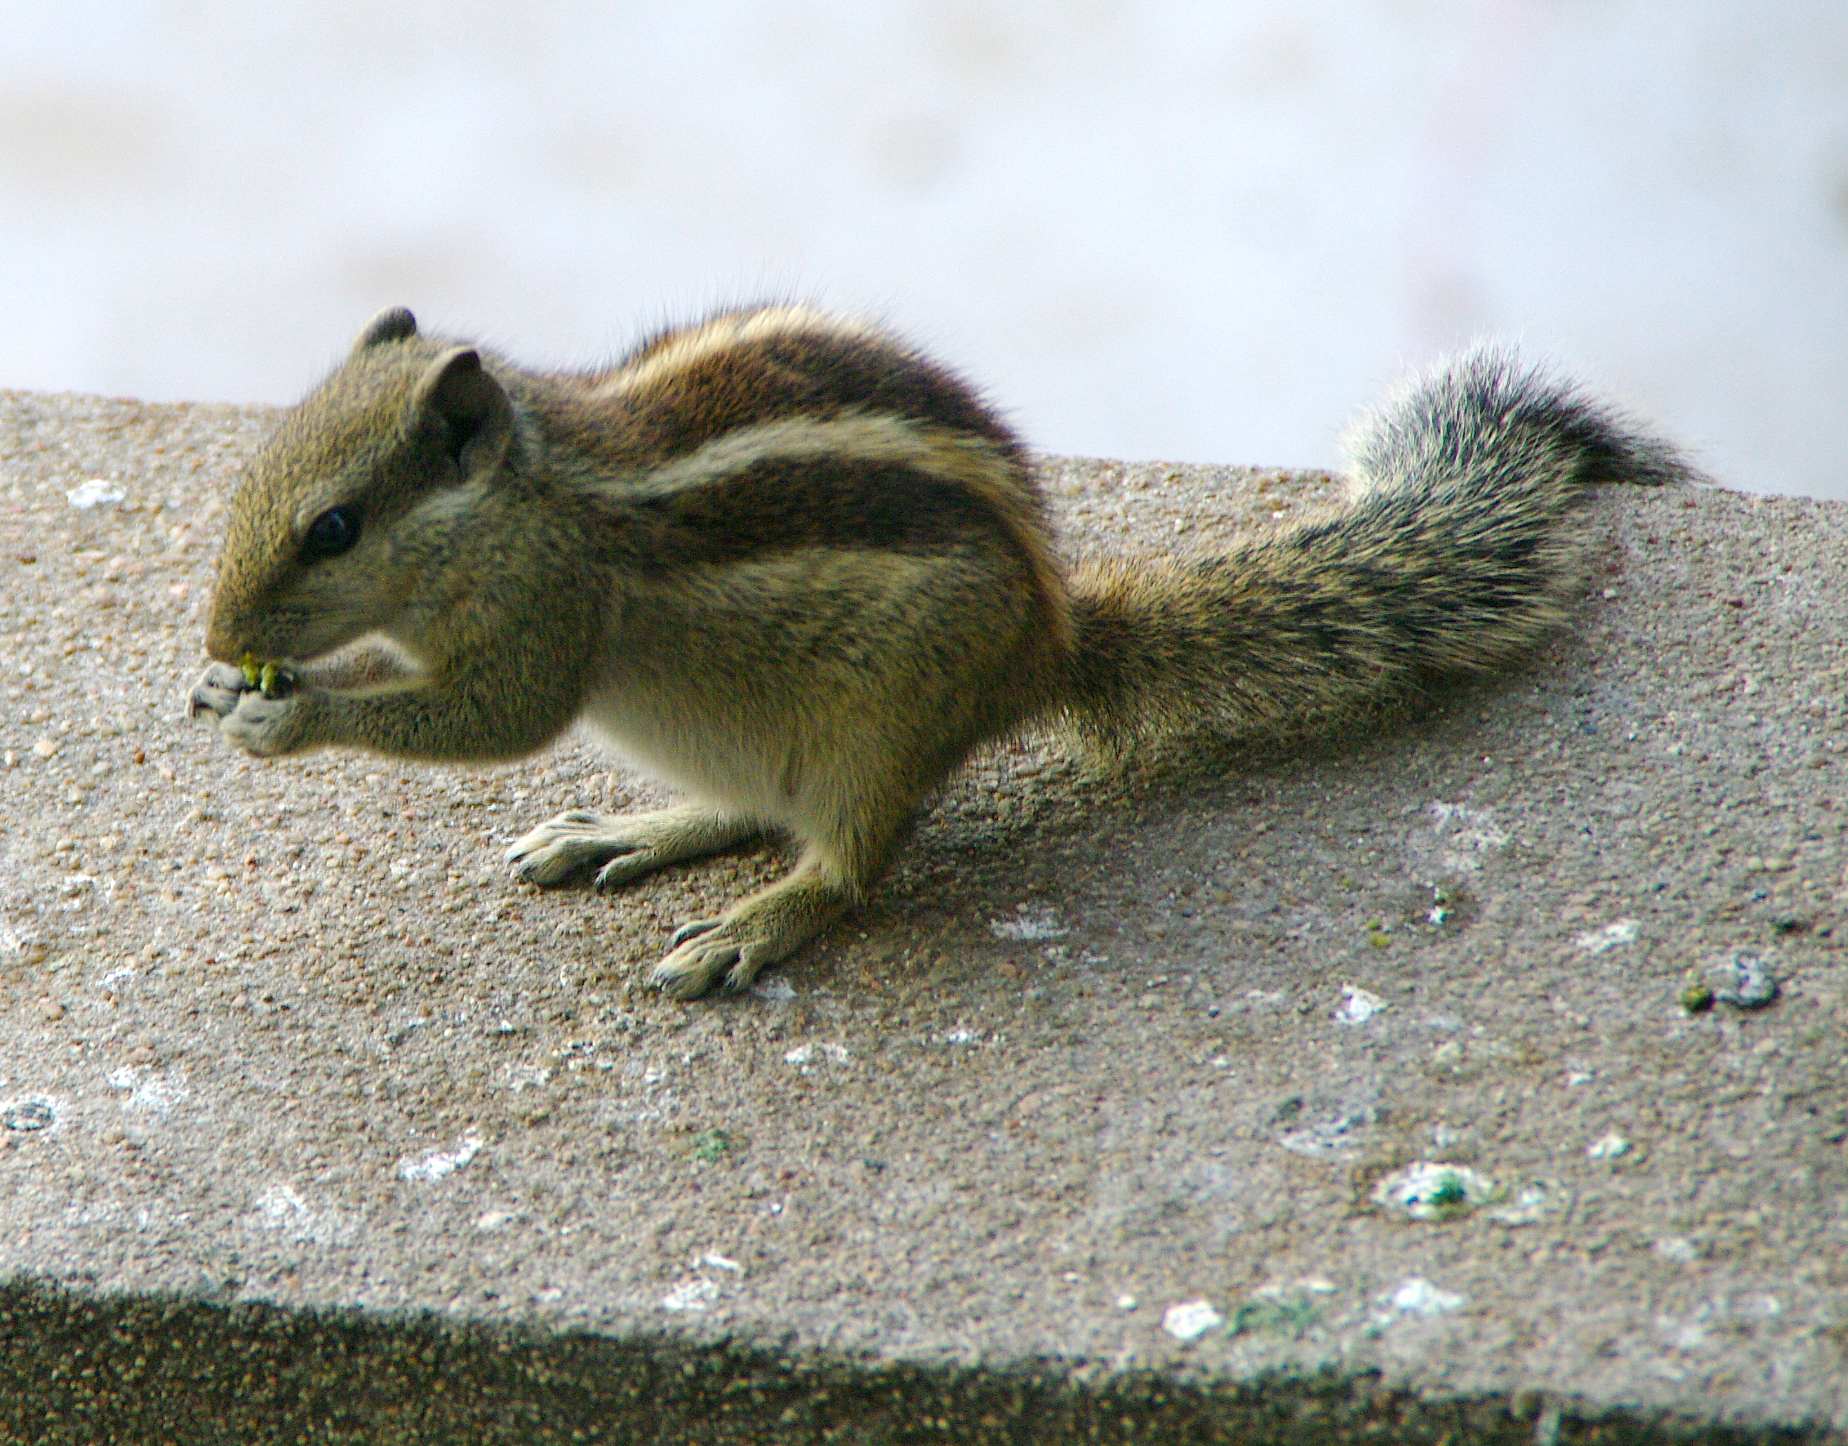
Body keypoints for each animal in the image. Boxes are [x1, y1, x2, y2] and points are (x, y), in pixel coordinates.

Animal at [189, 304, 1690, 998]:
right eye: (253, 473)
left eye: (333, 528)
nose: (218, 634)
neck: (530, 492)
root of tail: (1050, 641)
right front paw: (221, 687)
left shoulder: (545, 618)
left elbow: (493, 717)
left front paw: (293, 713)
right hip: (729, 724)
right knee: (751, 806)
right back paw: (635, 829)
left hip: (877, 725)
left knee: (846, 867)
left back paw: (752, 924)